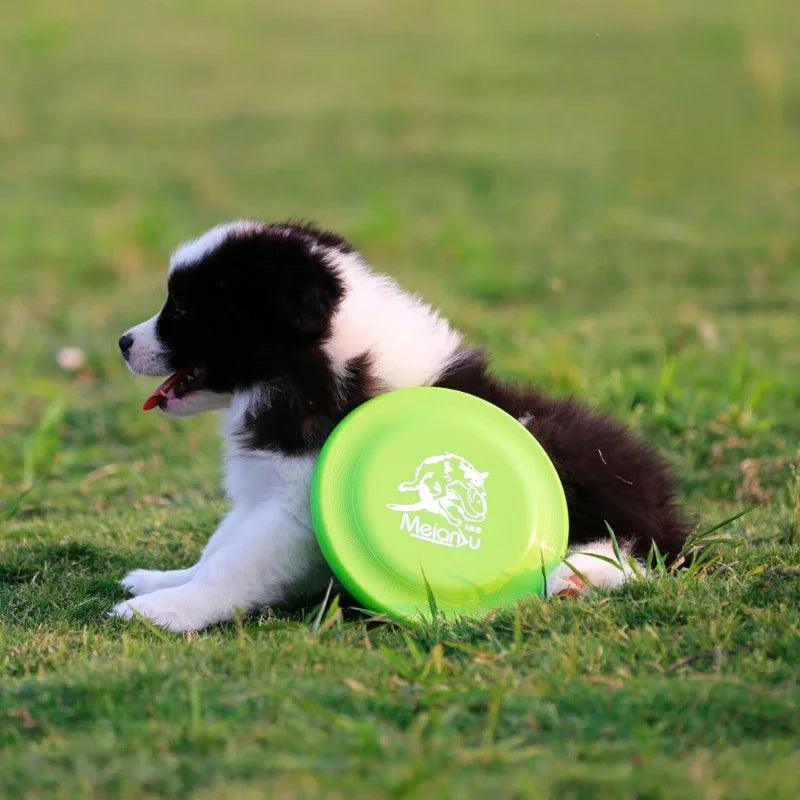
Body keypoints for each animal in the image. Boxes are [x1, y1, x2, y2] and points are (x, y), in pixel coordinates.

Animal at [112, 220, 688, 632]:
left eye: (181, 307)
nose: (122, 342)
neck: (312, 370)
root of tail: (667, 509)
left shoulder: (293, 511)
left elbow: (234, 565)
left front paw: (166, 612)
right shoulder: (268, 492)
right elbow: (219, 546)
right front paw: (162, 582)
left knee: (634, 548)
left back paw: (578, 577)